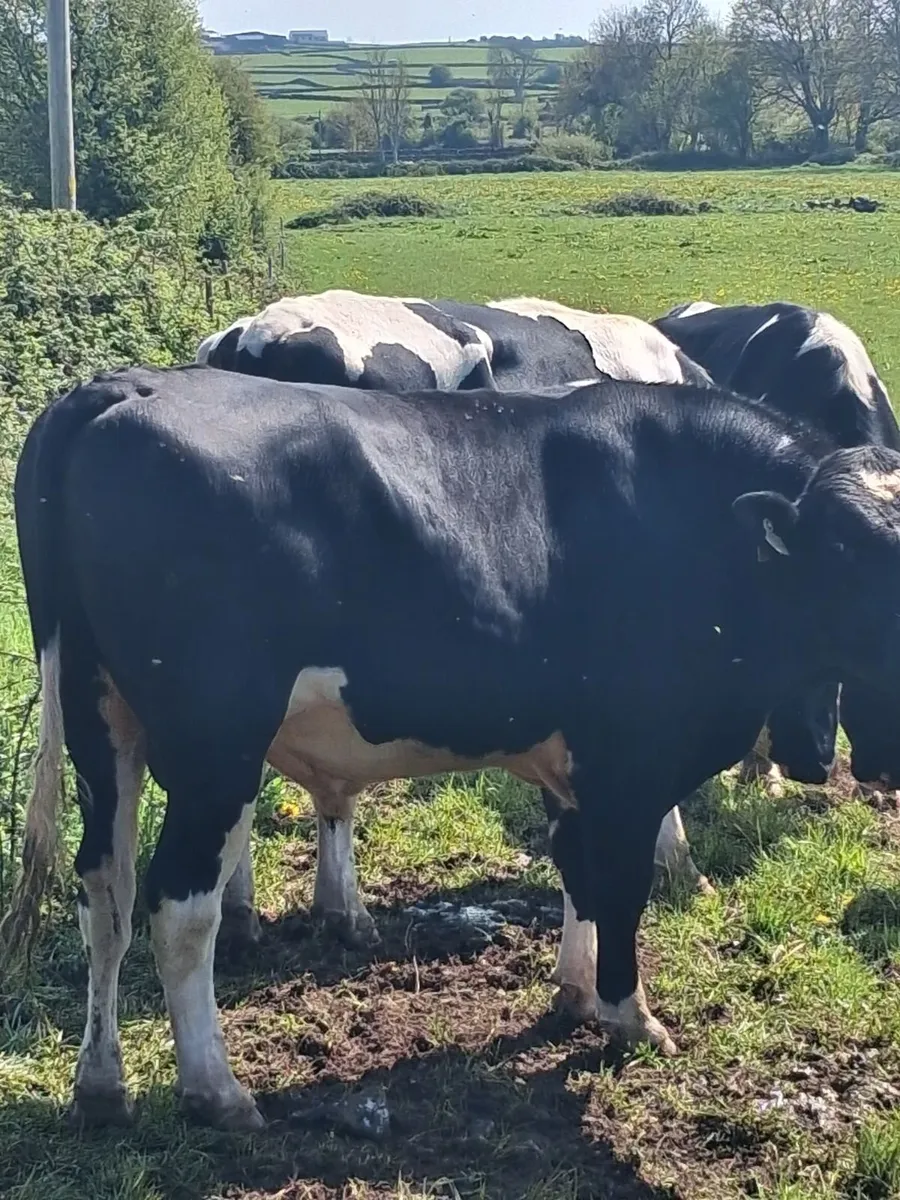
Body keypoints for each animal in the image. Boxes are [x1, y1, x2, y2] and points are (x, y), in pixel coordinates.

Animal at [5, 363, 900, 1134]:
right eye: (850, 556)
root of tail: (122, 386)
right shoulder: (632, 760)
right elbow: (620, 887)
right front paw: (629, 1016)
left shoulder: (571, 761)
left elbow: (575, 874)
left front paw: (576, 996)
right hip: (213, 743)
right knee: (179, 908)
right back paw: (214, 1090)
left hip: (101, 722)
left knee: (106, 893)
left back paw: (102, 1086)